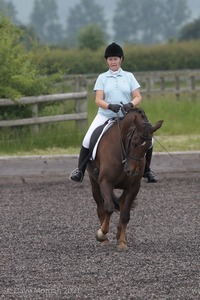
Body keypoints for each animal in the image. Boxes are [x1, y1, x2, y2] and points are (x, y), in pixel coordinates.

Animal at [86, 106, 163, 250]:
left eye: (147, 147)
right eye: (134, 142)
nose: (131, 171)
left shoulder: (133, 187)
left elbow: (126, 214)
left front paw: (122, 242)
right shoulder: (105, 182)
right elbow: (108, 208)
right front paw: (101, 234)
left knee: (121, 205)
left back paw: (120, 236)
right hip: (94, 183)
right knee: (100, 207)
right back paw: (104, 240)